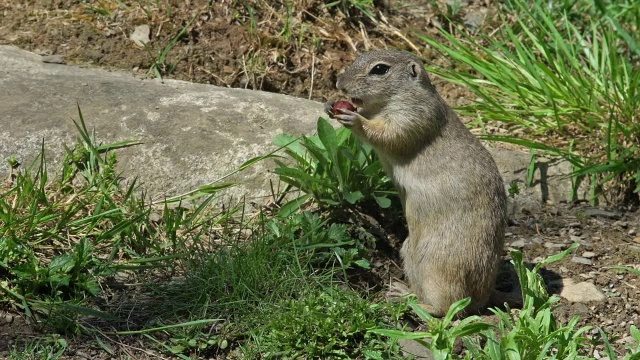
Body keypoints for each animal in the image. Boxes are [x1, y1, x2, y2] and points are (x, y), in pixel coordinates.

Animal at [324, 50, 516, 316]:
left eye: (380, 69)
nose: (339, 84)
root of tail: (485, 296)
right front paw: (330, 103)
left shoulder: (413, 116)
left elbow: (387, 134)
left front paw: (354, 118)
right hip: (409, 253)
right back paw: (403, 292)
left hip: (437, 268)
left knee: (449, 307)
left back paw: (413, 303)